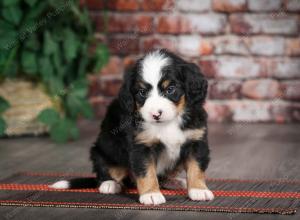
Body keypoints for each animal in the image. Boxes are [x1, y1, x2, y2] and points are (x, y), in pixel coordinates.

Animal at [52, 49, 216, 205]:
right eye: (142, 92)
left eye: (170, 89)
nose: (156, 114)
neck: (167, 123)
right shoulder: (141, 145)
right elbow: (146, 171)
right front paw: (151, 194)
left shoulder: (196, 140)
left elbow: (196, 167)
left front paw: (198, 190)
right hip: (102, 150)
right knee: (104, 172)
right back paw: (109, 184)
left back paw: (175, 182)